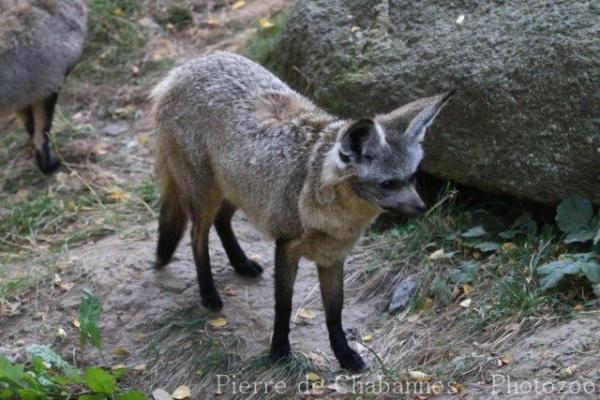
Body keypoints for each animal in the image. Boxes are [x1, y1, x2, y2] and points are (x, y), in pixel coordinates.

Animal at [151, 50, 454, 372]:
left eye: (411, 177)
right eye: (388, 184)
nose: (422, 207)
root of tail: (189, 65)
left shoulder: (333, 257)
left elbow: (334, 314)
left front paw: (344, 356)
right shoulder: (286, 247)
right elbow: (283, 306)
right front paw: (279, 351)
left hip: (239, 191)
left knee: (222, 222)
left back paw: (241, 264)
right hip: (208, 196)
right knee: (197, 237)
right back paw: (208, 293)